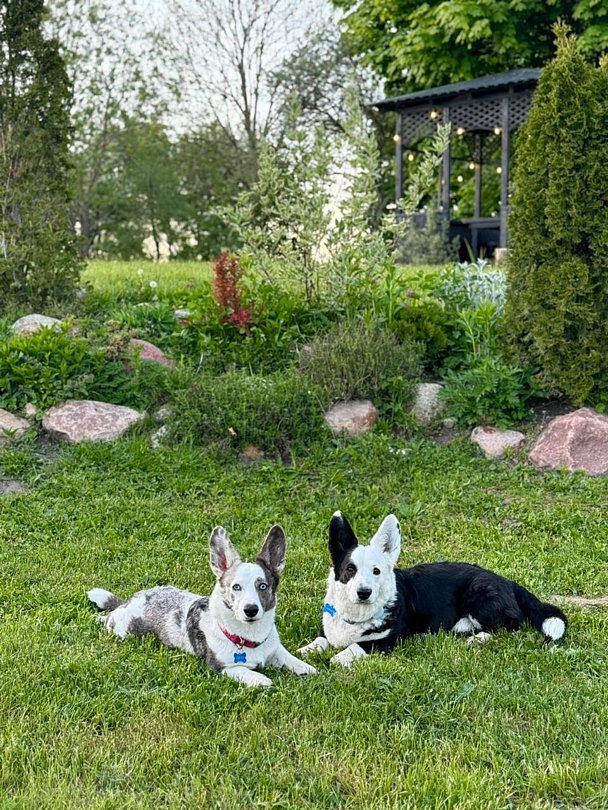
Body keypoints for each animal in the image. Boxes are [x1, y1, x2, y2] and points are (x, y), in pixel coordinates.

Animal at [88, 524, 316, 687]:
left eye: (262, 586)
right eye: (236, 587)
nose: (250, 610)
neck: (247, 637)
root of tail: (132, 600)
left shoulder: (275, 650)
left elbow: (289, 657)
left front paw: (306, 668)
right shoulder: (221, 667)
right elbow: (245, 671)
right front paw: (260, 679)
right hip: (123, 630)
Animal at [298, 512, 567, 667]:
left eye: (376, 571)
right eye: (350, 569)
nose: (364, 593)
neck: (357, 617)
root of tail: (507, 581)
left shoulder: (385, 642)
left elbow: (355, 647)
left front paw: (337, 659)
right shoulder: (327, 632)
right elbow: (319, 641)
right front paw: (305, 651)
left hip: (480, 596)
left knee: (510, 624)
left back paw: (477, 639)